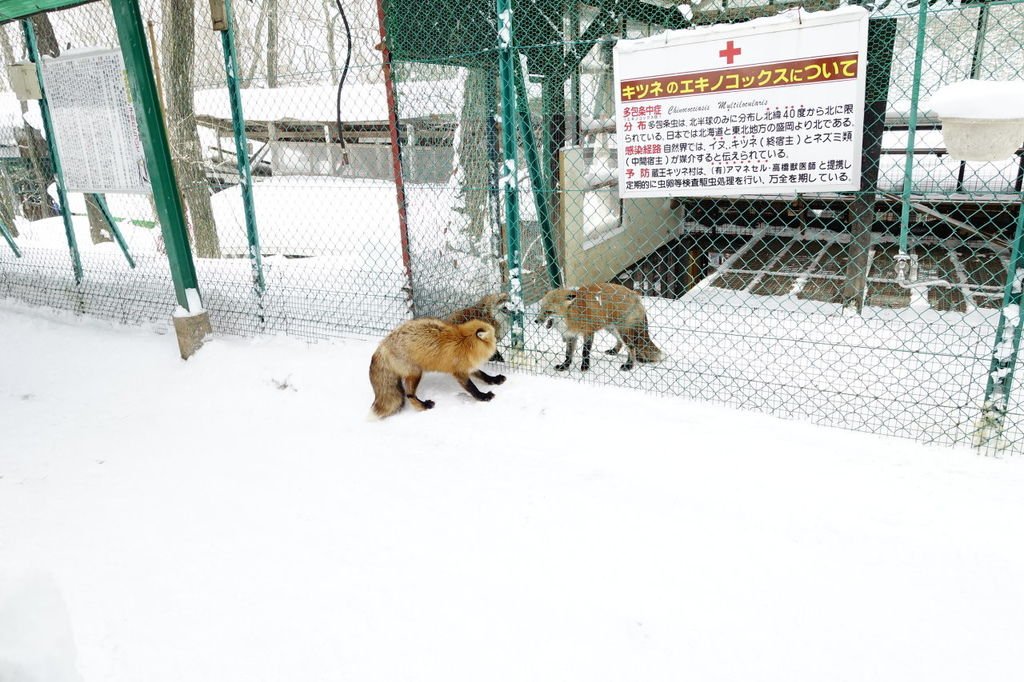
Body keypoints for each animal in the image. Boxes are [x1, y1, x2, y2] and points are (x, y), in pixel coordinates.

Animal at [372, 315, 507, 417]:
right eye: (494, 335)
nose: (499, 339)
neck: (465, 342)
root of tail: (382, 345)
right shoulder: (459, 372)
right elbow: (472, 388)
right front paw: (483, 397)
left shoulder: (468, 366)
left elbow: (483, 375)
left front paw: (494, 379)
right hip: (416, 373)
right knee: (409, 394)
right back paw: (424, 405)